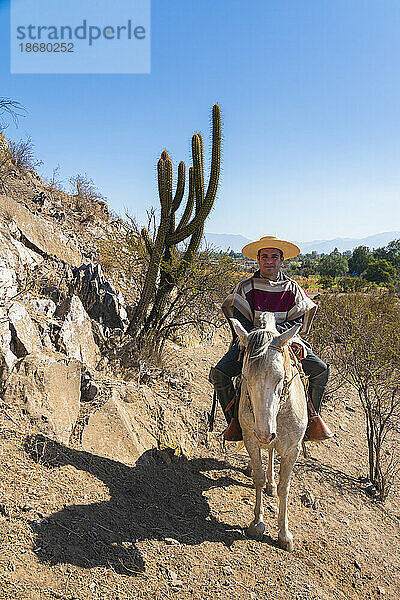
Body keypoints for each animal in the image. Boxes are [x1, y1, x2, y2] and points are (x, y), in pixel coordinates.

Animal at [231, 312, 306, 552]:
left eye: (281, 377)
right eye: (245, 376)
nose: (264, 433)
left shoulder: (292, 450)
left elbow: (284, 488)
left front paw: (284, 535)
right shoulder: (251, 440)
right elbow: (258, 477)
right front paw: (257, 524)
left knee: (272, 451)